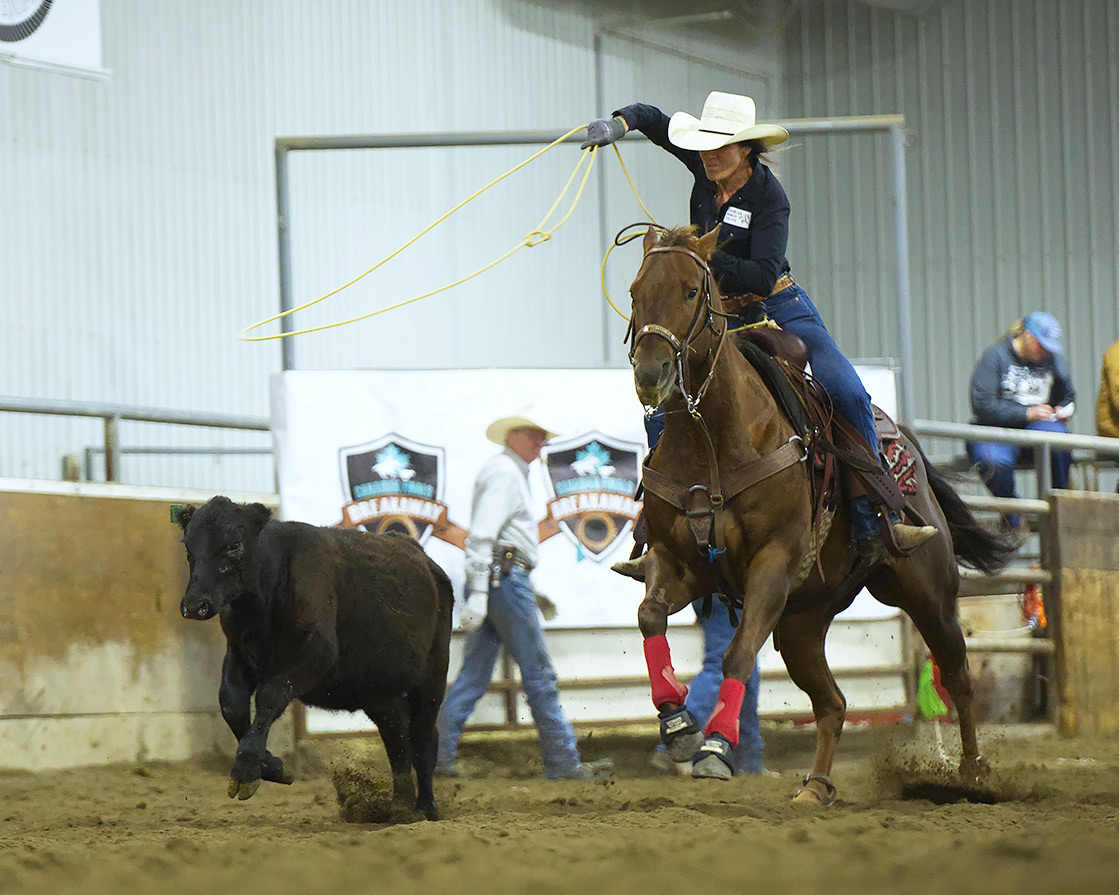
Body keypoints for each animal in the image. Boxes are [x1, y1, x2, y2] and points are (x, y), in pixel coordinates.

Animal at [631, 225, 1016, 805]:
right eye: (635, 291)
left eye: (690, 291)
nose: (650, 373)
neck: (712, 439)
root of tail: (903, 442)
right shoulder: (678, 562)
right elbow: (650, 615)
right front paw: (678, 728)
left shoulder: (773, 564)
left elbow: (737, 654)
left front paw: (716, 749)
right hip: (801, 622)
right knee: (833, 703)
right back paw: (815, 787)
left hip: (928, 593)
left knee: (959, 674)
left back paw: (971, 773)